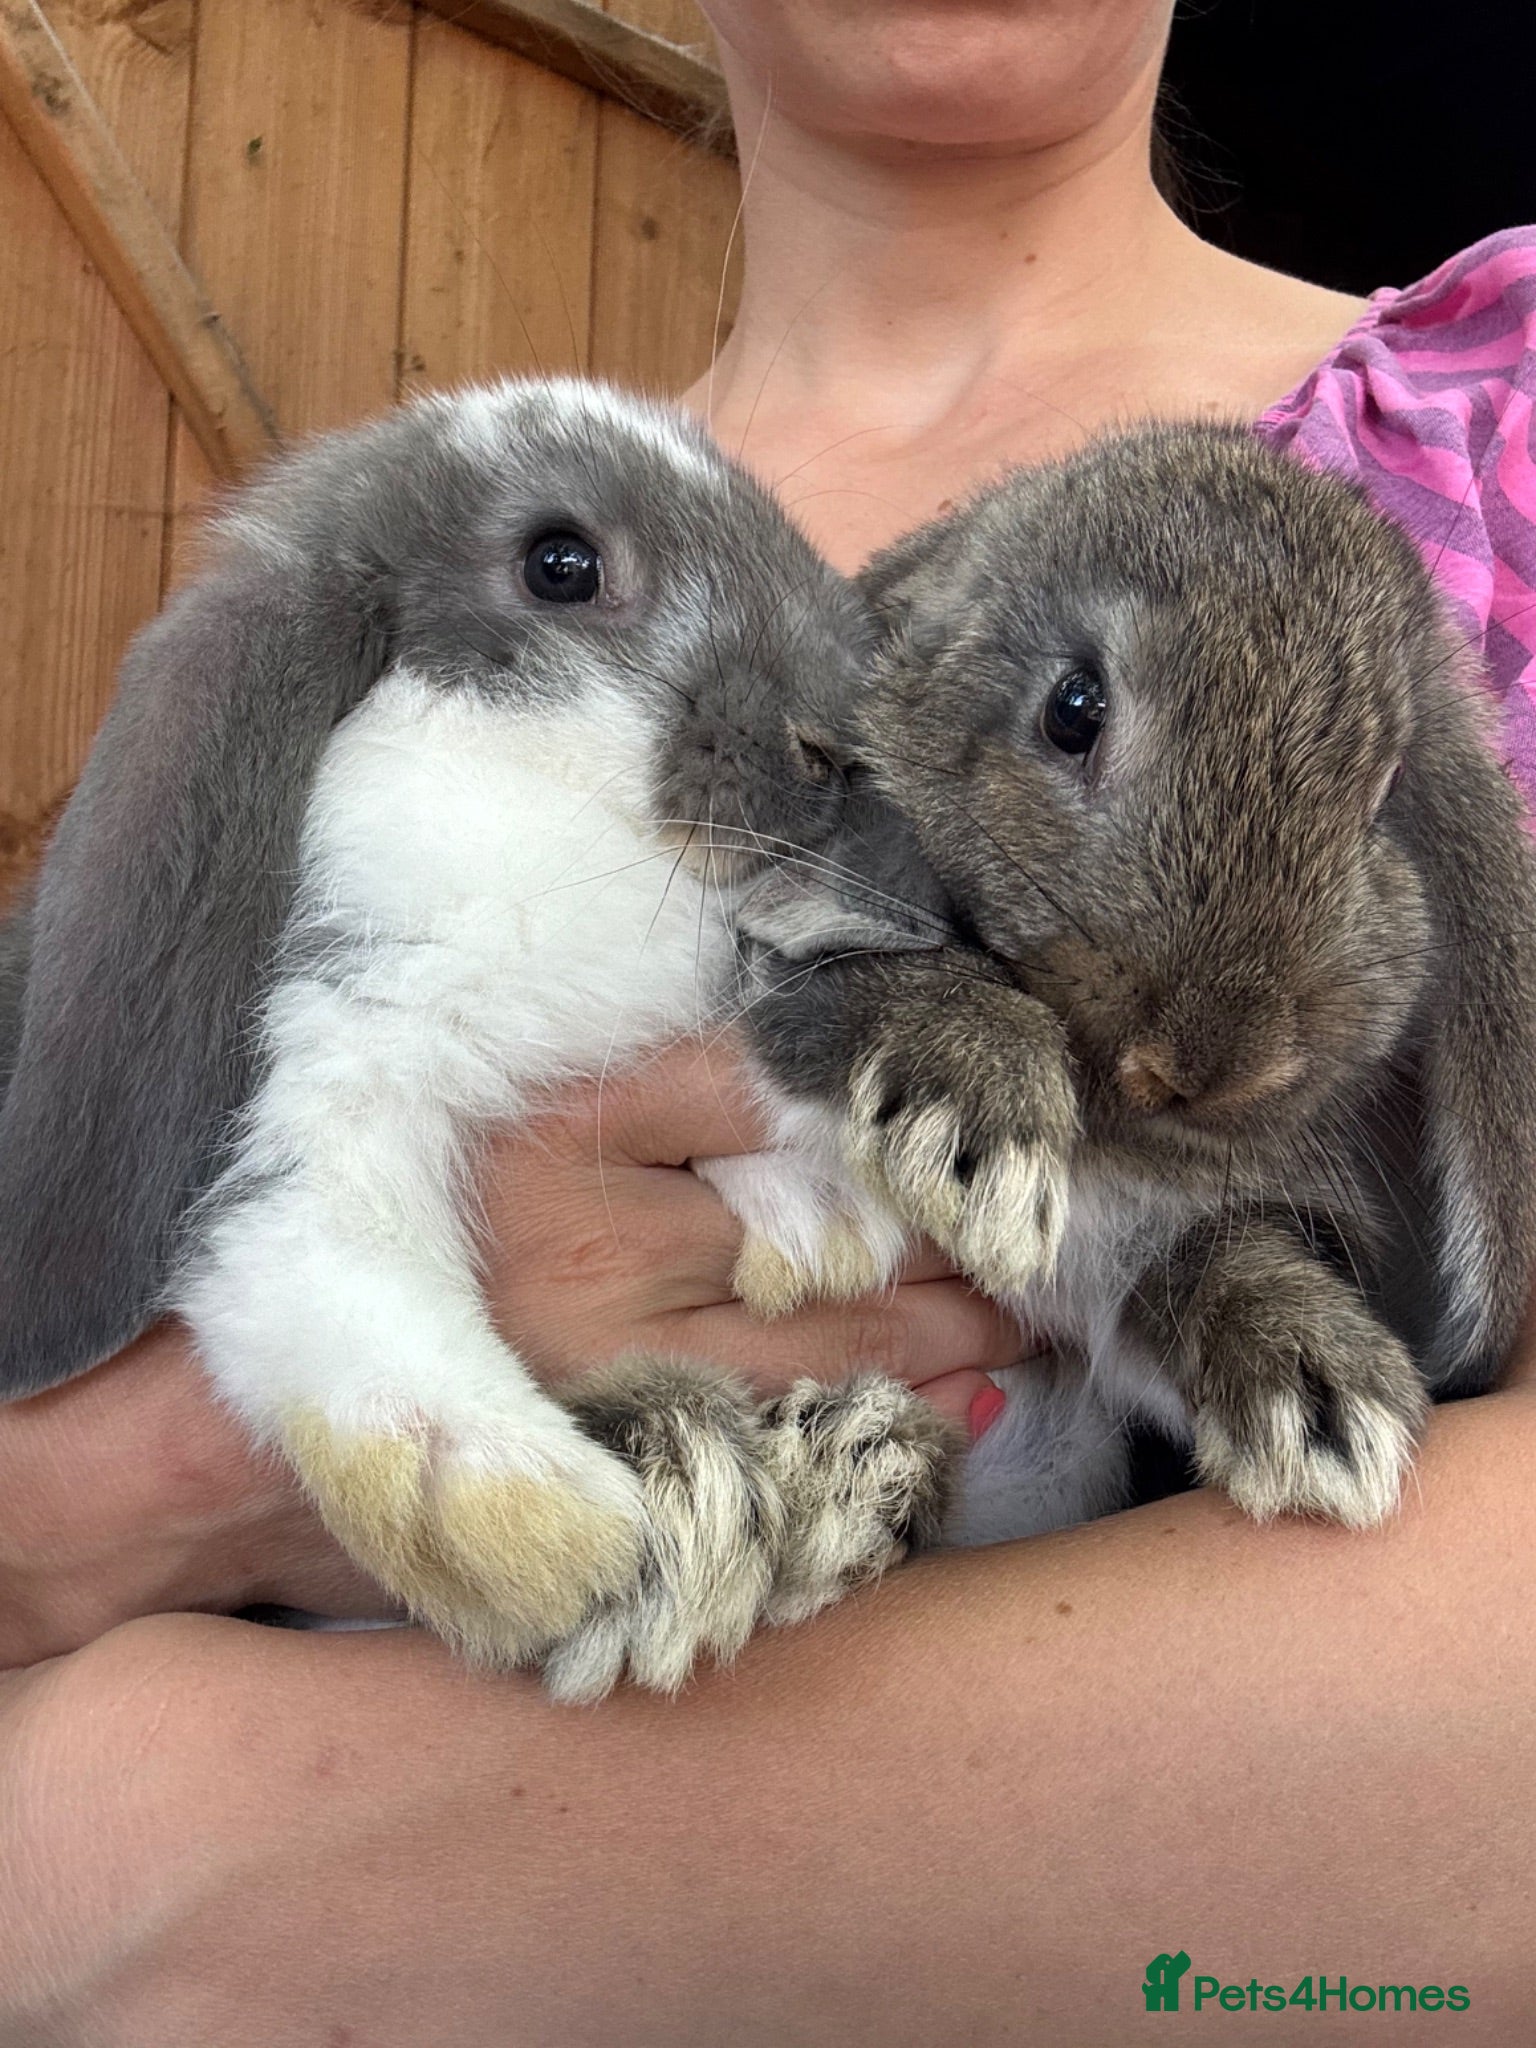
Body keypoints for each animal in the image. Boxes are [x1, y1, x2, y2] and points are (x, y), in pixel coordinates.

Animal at [0, 377, 960, 1700]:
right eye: (560, 563)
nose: (835, 736)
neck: (567, 824)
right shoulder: (330, 1059)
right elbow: (329, 1270)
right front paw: (543, 1527)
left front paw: (822, 1224)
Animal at [734, 421, 1536, 1544]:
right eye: (1073, 709)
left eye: (1383, 797)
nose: (1200, 1063)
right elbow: (874, 991)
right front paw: (976, 1136)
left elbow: (1205, 1262)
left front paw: (1321, 1403)